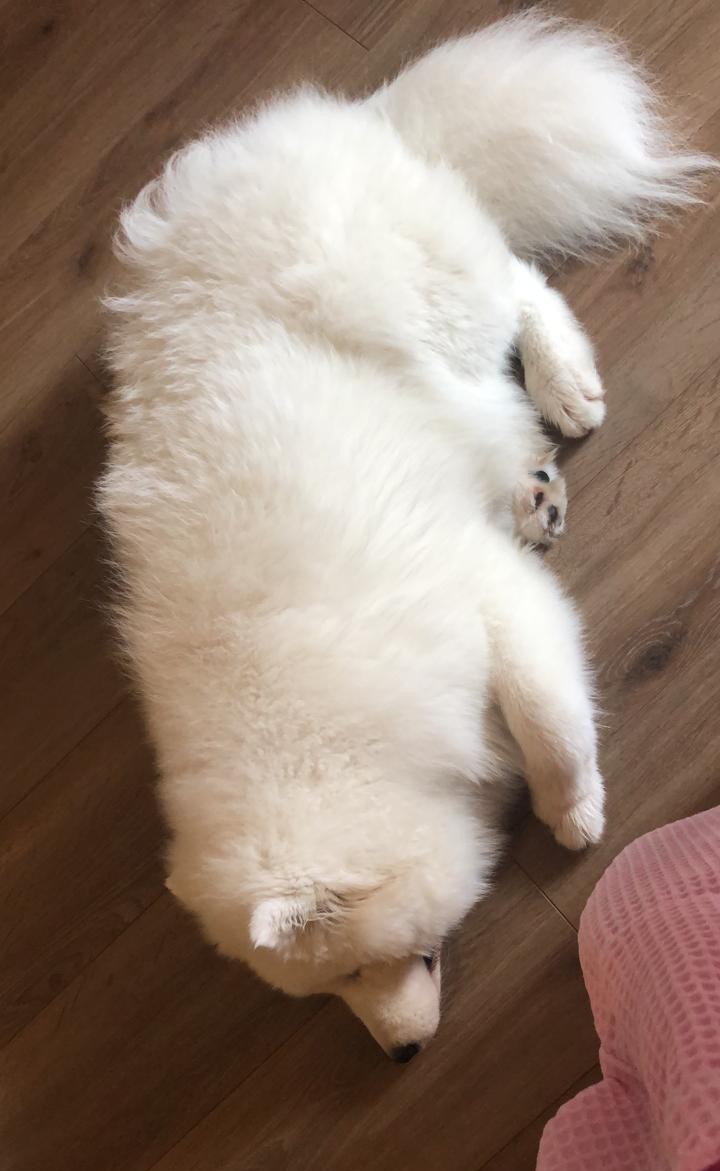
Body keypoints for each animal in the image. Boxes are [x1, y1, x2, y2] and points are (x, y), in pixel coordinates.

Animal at [98, 13, 711, 1058]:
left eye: (360, 964)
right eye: (333, 988)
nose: (402, 1052)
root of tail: (345, 117)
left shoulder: (491, 603)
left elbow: (551, 723)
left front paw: (573, 810)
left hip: (434, 307)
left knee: (523, 283)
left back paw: (565, 392)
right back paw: (532, 486)